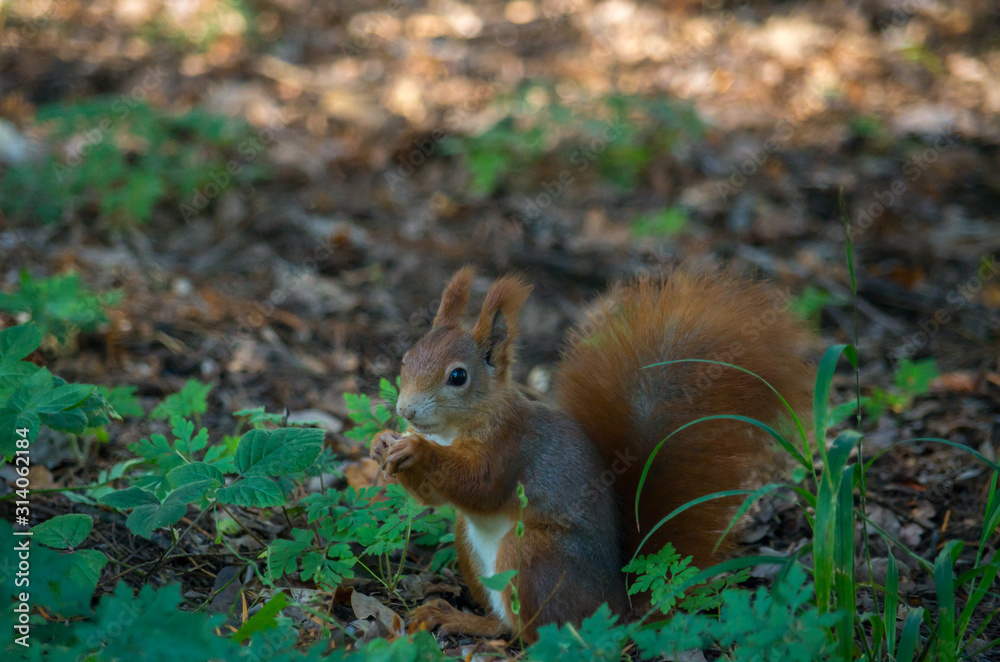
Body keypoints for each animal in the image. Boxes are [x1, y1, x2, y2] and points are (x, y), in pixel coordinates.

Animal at [368, 264, 812, 644]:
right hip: (469, 541)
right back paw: (451, 615)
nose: (405, 410)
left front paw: (414, 448)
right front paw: (381, 442)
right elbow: (434, 495)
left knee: (528, 632)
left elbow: (480, 485)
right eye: (406, 358)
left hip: (533, 556)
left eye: (458, 376)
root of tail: (615, 607)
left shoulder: (512, 448)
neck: (453, 431)